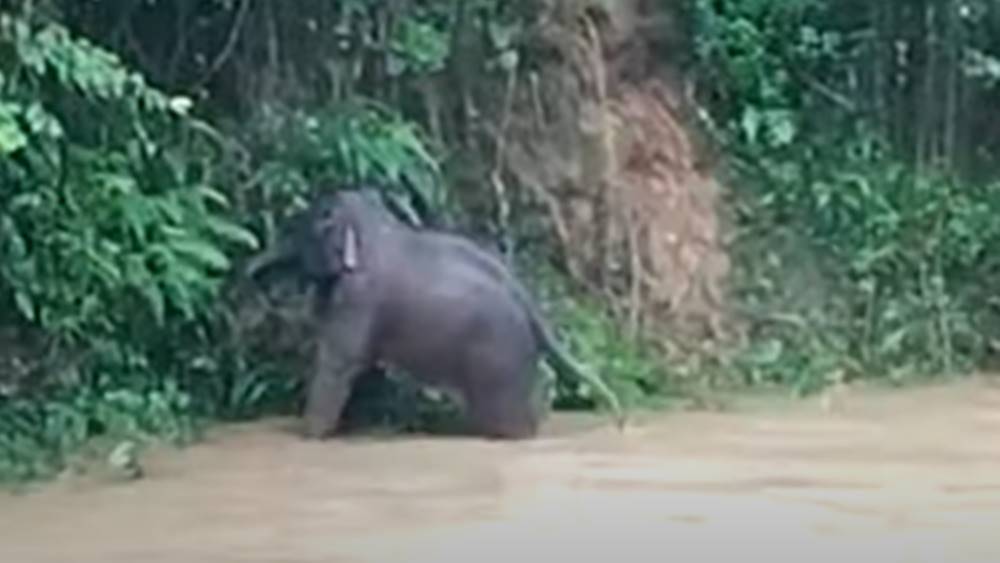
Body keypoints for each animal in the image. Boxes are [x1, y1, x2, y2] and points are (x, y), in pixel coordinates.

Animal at [245, 188, 625, 440]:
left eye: (299, 230)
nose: (250, 272)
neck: (369, 223)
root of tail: (527, 300)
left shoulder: (359, 297)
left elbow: (340, 361)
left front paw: (306, 435)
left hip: (499, 354)